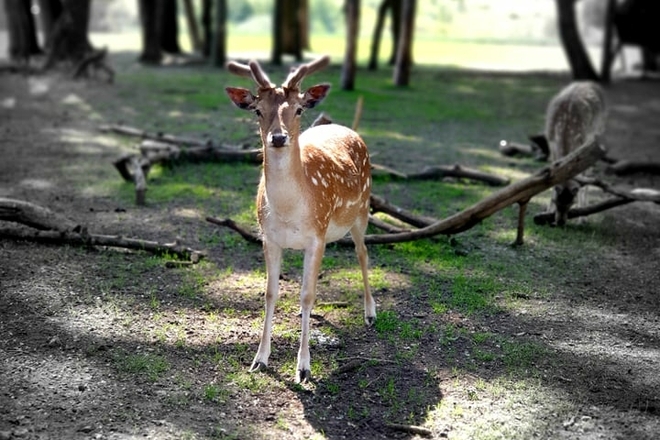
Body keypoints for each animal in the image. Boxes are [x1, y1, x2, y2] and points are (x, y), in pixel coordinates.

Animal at [224, 56, 374, 384]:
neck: (288, 210)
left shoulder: (315, 237)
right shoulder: (269, 237)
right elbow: (271, 293)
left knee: (362, 252)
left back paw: (370, 312)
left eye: (299, 109)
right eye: (257, 109)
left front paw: (303, 368)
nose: (278, 137)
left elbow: (307, 295)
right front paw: (259, 359)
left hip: (362, 210)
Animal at [544, 81, 604, 225]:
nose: (560, 222)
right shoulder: (551, 146)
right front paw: (548, 211)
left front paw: (582, 218)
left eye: (571, 203)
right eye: (556, 201)